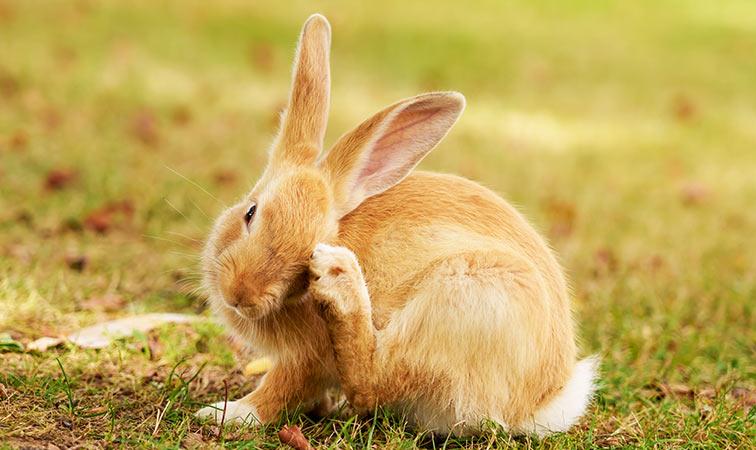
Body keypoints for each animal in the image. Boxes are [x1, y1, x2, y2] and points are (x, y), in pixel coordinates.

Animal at [195, 13, 598, 436]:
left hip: (462, 300)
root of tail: (539, 402)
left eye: (309, 253)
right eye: (251, 213)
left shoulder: (306, 359)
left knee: (374, 382)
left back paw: (341, 281)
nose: (241, 295)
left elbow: (279, 393)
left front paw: (225, 412)